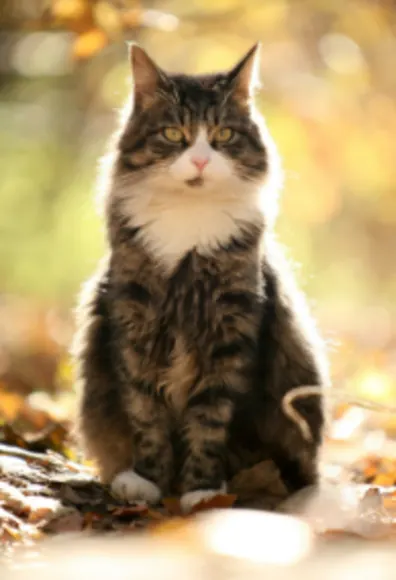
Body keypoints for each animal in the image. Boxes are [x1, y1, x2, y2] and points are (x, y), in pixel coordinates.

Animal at [73, 44, 328, 512]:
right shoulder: (134, 321)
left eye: (223, 135)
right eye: (175, 135)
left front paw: (202, 492)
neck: (188, 221)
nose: (200, 160)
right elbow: (146, 412)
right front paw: (147, 481)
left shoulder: (231, 330)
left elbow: (209, 422)